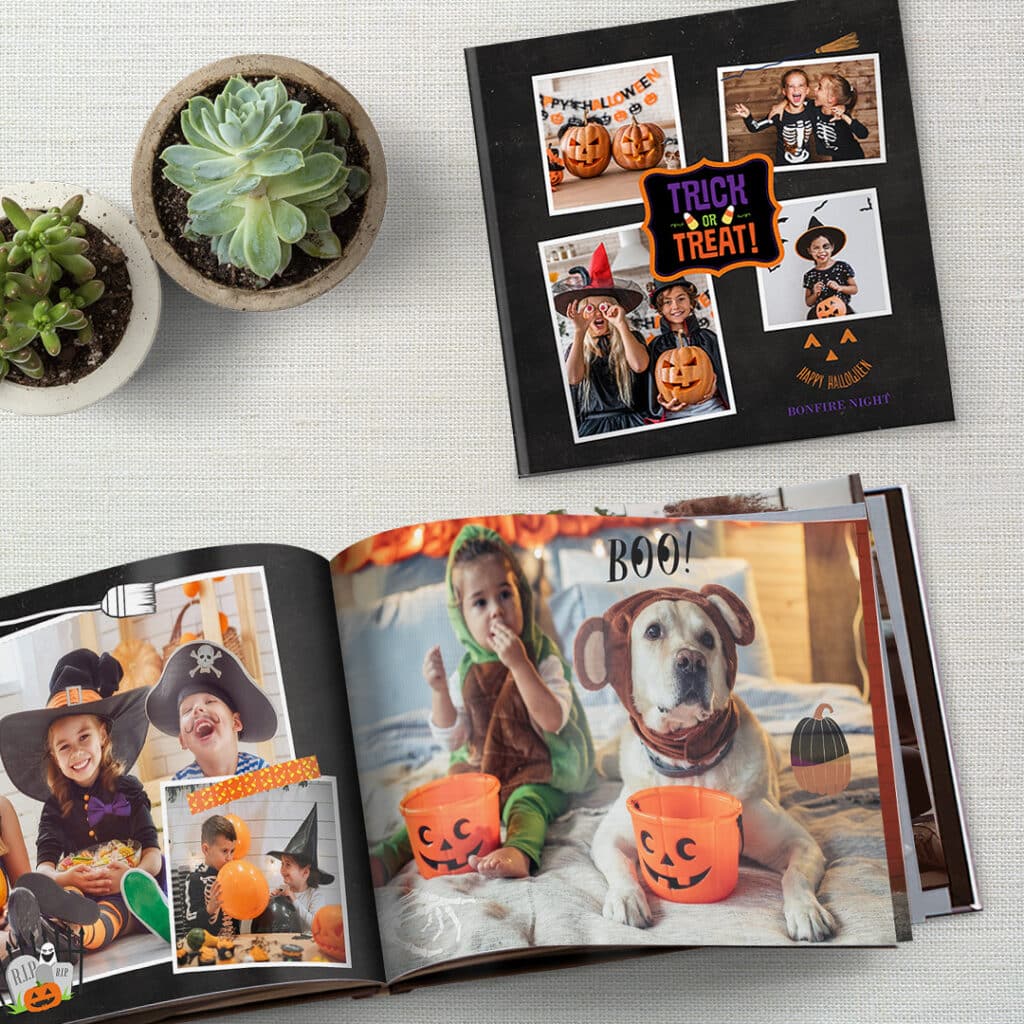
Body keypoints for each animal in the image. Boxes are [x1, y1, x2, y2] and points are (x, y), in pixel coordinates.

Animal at [573, 585, 835, 942]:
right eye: (653, 631)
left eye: (709, 639)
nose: (692, 661)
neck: (688, 765)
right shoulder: (609, 837)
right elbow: (621, 866)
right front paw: (627, 898)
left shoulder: (800, 843)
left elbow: (795, 876)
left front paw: (807, 910)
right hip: (607, 762)